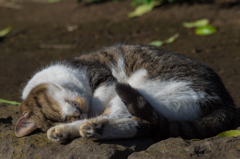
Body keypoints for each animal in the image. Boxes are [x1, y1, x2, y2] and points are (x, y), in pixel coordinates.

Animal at [15, 43, 236, 143]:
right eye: (61, 117)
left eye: (55, 112)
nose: (76, 115)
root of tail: (225, 99)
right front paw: (68, 125)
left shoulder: (103, 77)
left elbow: (100, 99)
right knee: (143, 124)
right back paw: (83, 130)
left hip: (142, 86)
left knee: (132, 117)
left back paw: (90, 127)